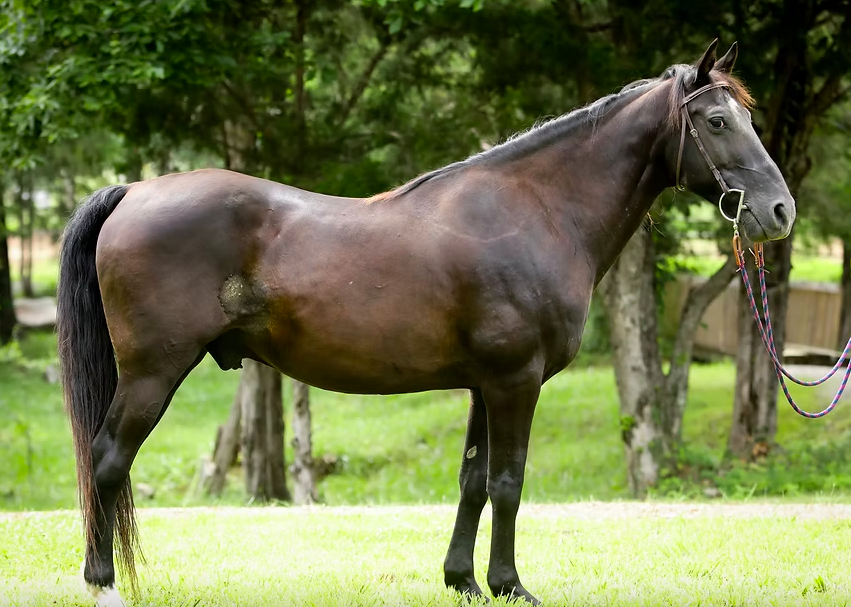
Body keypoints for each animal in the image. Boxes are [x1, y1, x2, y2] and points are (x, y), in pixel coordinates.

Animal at [57, 39, 795, 606]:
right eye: (717, 121)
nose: (779, 211)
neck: (537, 210)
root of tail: (133, 191)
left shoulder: (483, 385)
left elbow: (473, 482)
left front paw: (463, 580)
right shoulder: (514, 382)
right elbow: (507, 482)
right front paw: (509, 584)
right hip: (152, 373)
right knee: (106, 460)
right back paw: (102, 583)